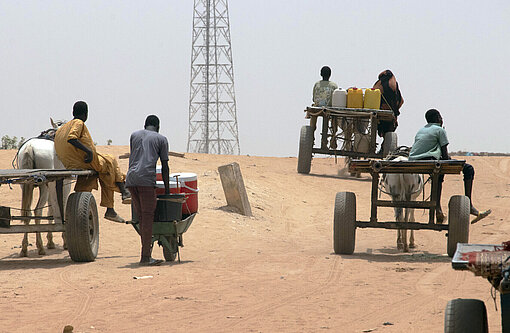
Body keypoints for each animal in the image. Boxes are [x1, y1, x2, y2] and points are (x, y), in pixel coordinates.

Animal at [16, 119, 70, 256]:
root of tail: (29, 148)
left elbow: (52, 209)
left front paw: (50, 241)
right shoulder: (65, 184)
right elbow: (60, 207)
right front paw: (64, 241)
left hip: (24, 185)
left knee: (28, 213)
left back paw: (24, 249)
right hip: (44, 186)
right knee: (37, 211)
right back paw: (40, 247)